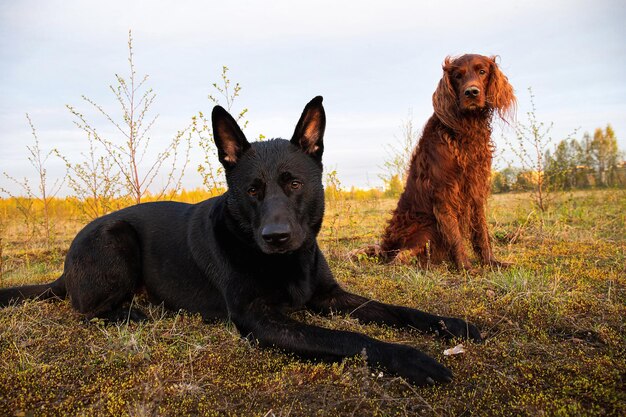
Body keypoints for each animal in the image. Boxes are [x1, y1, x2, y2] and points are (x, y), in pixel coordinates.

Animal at [1, 96, 478, 386]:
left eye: (294, 184)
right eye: (252, 190)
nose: (276, 236)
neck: (284, 262)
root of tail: (65, 266)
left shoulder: (329, 295)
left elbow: (398, 310)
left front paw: (454, 326)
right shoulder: (260, 319)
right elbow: (350, 339)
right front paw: (413, 359)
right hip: (117, 239)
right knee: (87, 311)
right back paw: (138, 312)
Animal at [360, 54, 512, 270]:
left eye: (482, 71)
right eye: (458, 75)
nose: (471, 92)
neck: (466, 129)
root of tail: (385, 248)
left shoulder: (476, 190)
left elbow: (481, 231)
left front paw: (491, 262)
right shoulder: (444, 191)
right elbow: (454, 234)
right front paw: (466, 267)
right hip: (424, 227)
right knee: (401, 257)